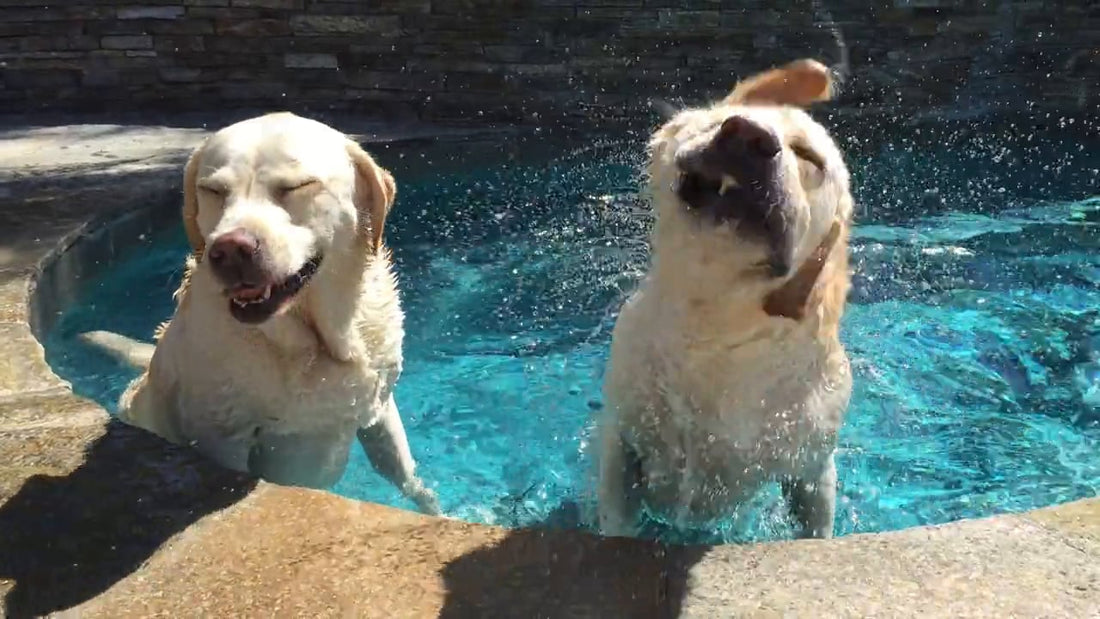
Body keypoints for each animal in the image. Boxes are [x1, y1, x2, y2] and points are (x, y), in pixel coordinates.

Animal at [83, 111, 440, 514]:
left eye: (297, 186)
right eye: (214, 191)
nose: (230, 250)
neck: (312, 347)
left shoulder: (379, 404)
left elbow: (404, 474)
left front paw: (437, 509)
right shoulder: (223, 437)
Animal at [598, 60, 853, 540]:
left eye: (810, 159)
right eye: (723, 121)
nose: (748, 136)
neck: (714, 327)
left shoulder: (811, 465)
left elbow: (815, 521)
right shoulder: (621, 436)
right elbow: (616, 513)